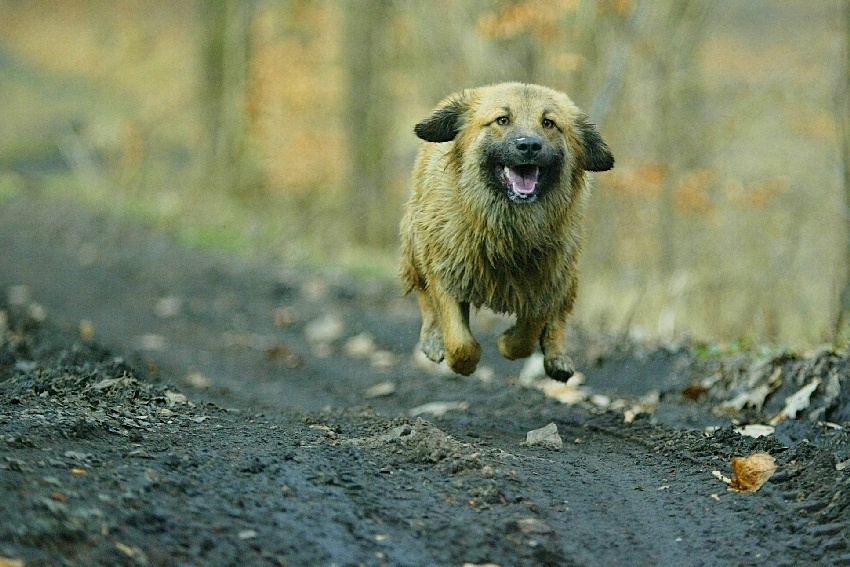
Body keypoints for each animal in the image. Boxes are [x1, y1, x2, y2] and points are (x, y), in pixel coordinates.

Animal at [398, 81, 608, 382]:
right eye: (502, 120)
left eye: (549, 123)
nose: (529, 145)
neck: (508, 228)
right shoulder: (446, 269)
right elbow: (460, 342)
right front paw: (465, 362)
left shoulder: (548, 277)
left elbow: (528, 333)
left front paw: (508, 342)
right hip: (416, 243)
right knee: (424, 294)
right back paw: (433, 340)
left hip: (569, 272)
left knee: (559, 316)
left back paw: (557, 357)